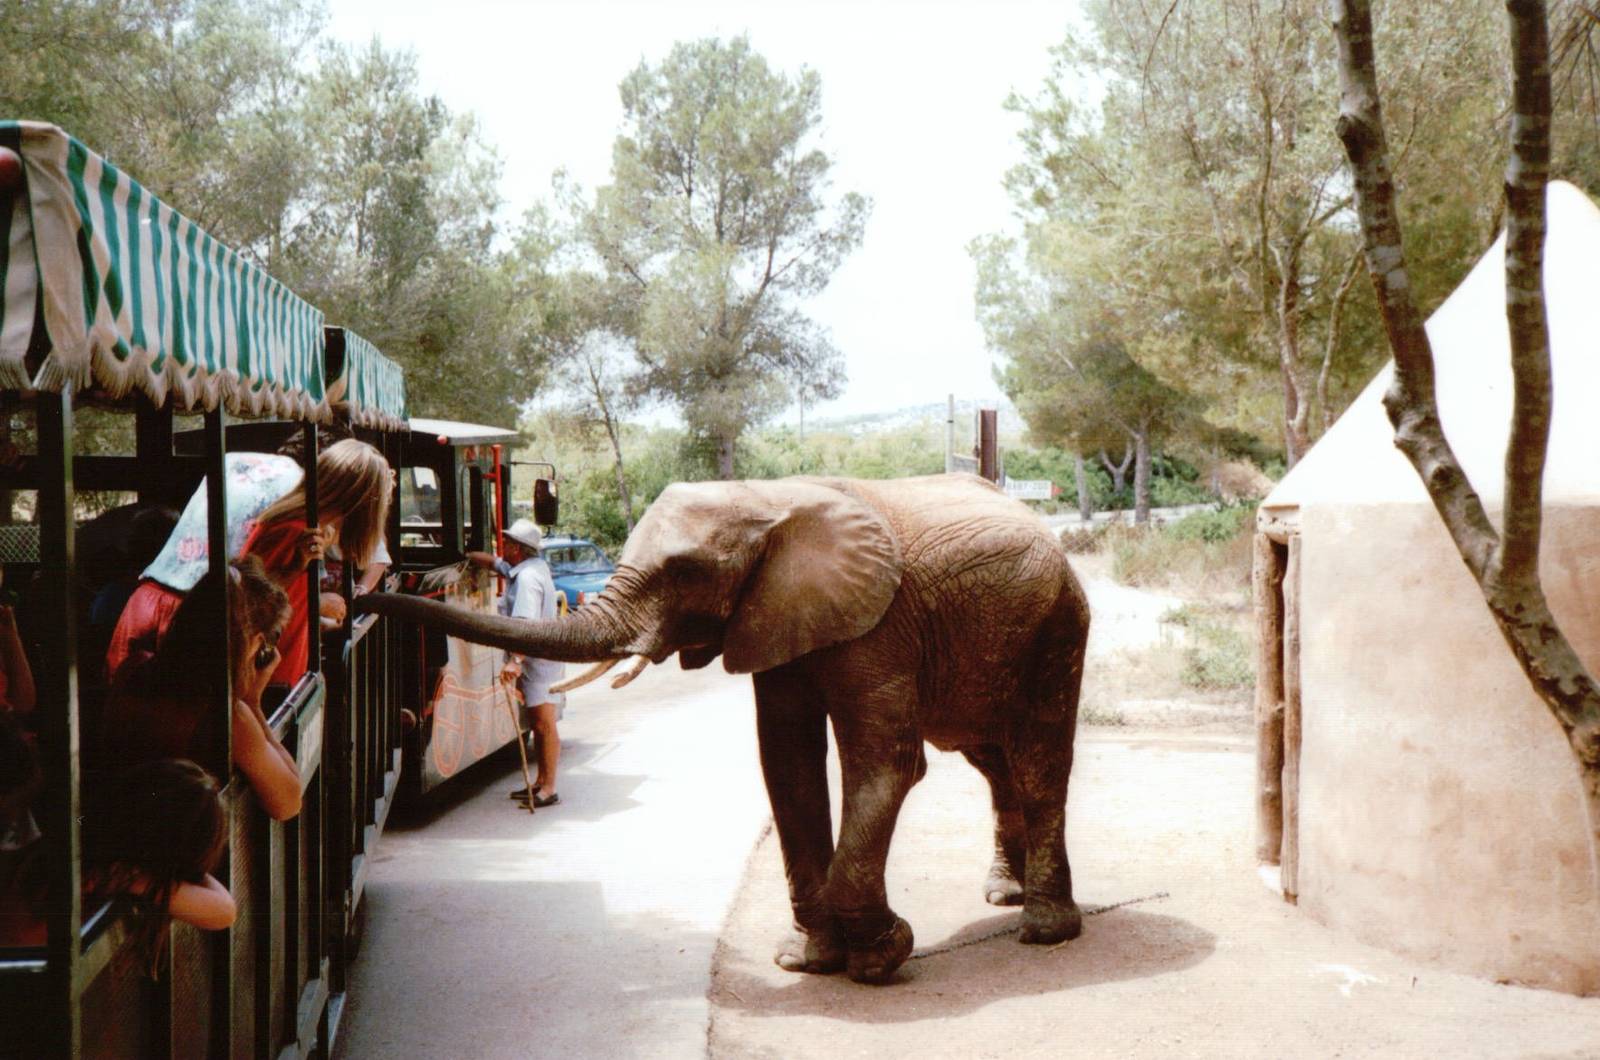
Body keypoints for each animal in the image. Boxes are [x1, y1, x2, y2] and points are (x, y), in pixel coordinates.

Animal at [357, 473, 1090, 984]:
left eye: (684, 572)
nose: (366, 593)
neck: (770, 501)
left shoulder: (879, 623)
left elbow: (886, 762)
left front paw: (882, 959)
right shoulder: (776, 613)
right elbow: (786, 761)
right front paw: (807, 962)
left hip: (1059, 623)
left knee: (1036, 760)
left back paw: (1044, 930)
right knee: (993, 759)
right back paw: (1003, 895)